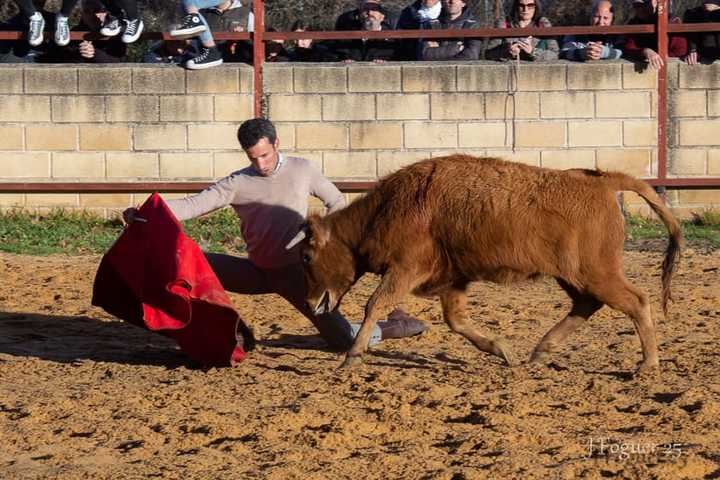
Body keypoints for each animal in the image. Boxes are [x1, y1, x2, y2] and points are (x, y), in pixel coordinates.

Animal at [286, 154, 680, 372]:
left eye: (307, 256)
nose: (309, 302)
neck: (390, 207)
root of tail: (602, 182)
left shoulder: (405, 269)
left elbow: (375, 305)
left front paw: (352, 357)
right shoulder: (452, 281)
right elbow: (457, 322)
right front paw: (502, 350)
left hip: (597, 272)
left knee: (636, 302)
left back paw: (648, 364)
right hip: (574, 276)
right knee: (586, 305)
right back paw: (540, 351)